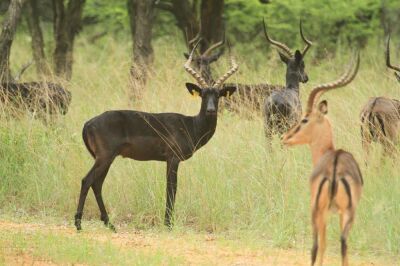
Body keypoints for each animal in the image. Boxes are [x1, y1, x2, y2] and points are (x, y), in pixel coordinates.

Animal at [282, 54, 364, 266]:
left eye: (304, 119)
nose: (285, 137)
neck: (328, 151)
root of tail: (334, 170)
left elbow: (322, 245)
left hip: (318, 210)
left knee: (316, 246)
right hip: (347, 212)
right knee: (343, 243)